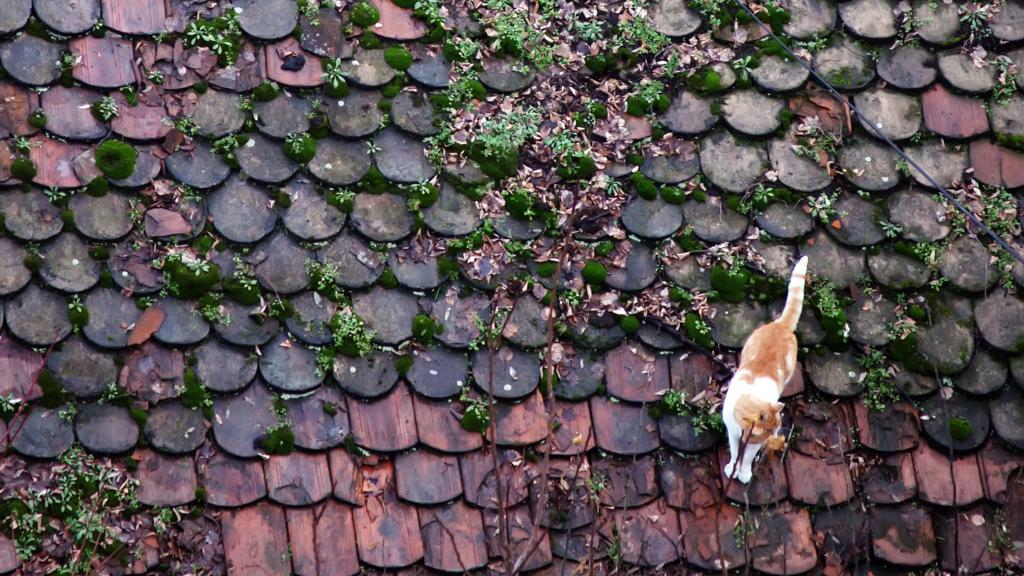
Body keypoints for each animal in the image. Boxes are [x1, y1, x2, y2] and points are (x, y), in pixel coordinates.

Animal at [721, 255, 808, 483]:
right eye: (768, 431)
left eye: (774, 429)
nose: (774, 436)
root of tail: (781, 325)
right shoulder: (733, 434)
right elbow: (735, 452)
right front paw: (733, 467)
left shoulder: (752, 443)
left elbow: (747, 457)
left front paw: (743, 472)